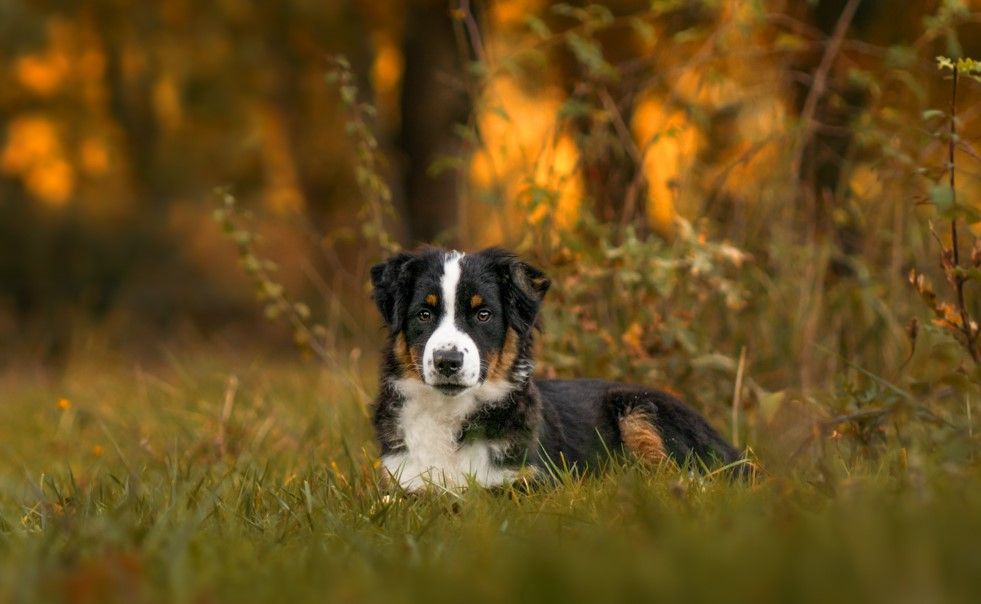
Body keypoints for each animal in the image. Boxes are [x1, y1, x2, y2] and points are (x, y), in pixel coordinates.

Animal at [370, 247, 744, 490]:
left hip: (639, 408)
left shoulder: (529, 482)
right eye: (424, 314)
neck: (450, 414)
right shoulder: (401, 483)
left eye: (483, 314)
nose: (447, 362)